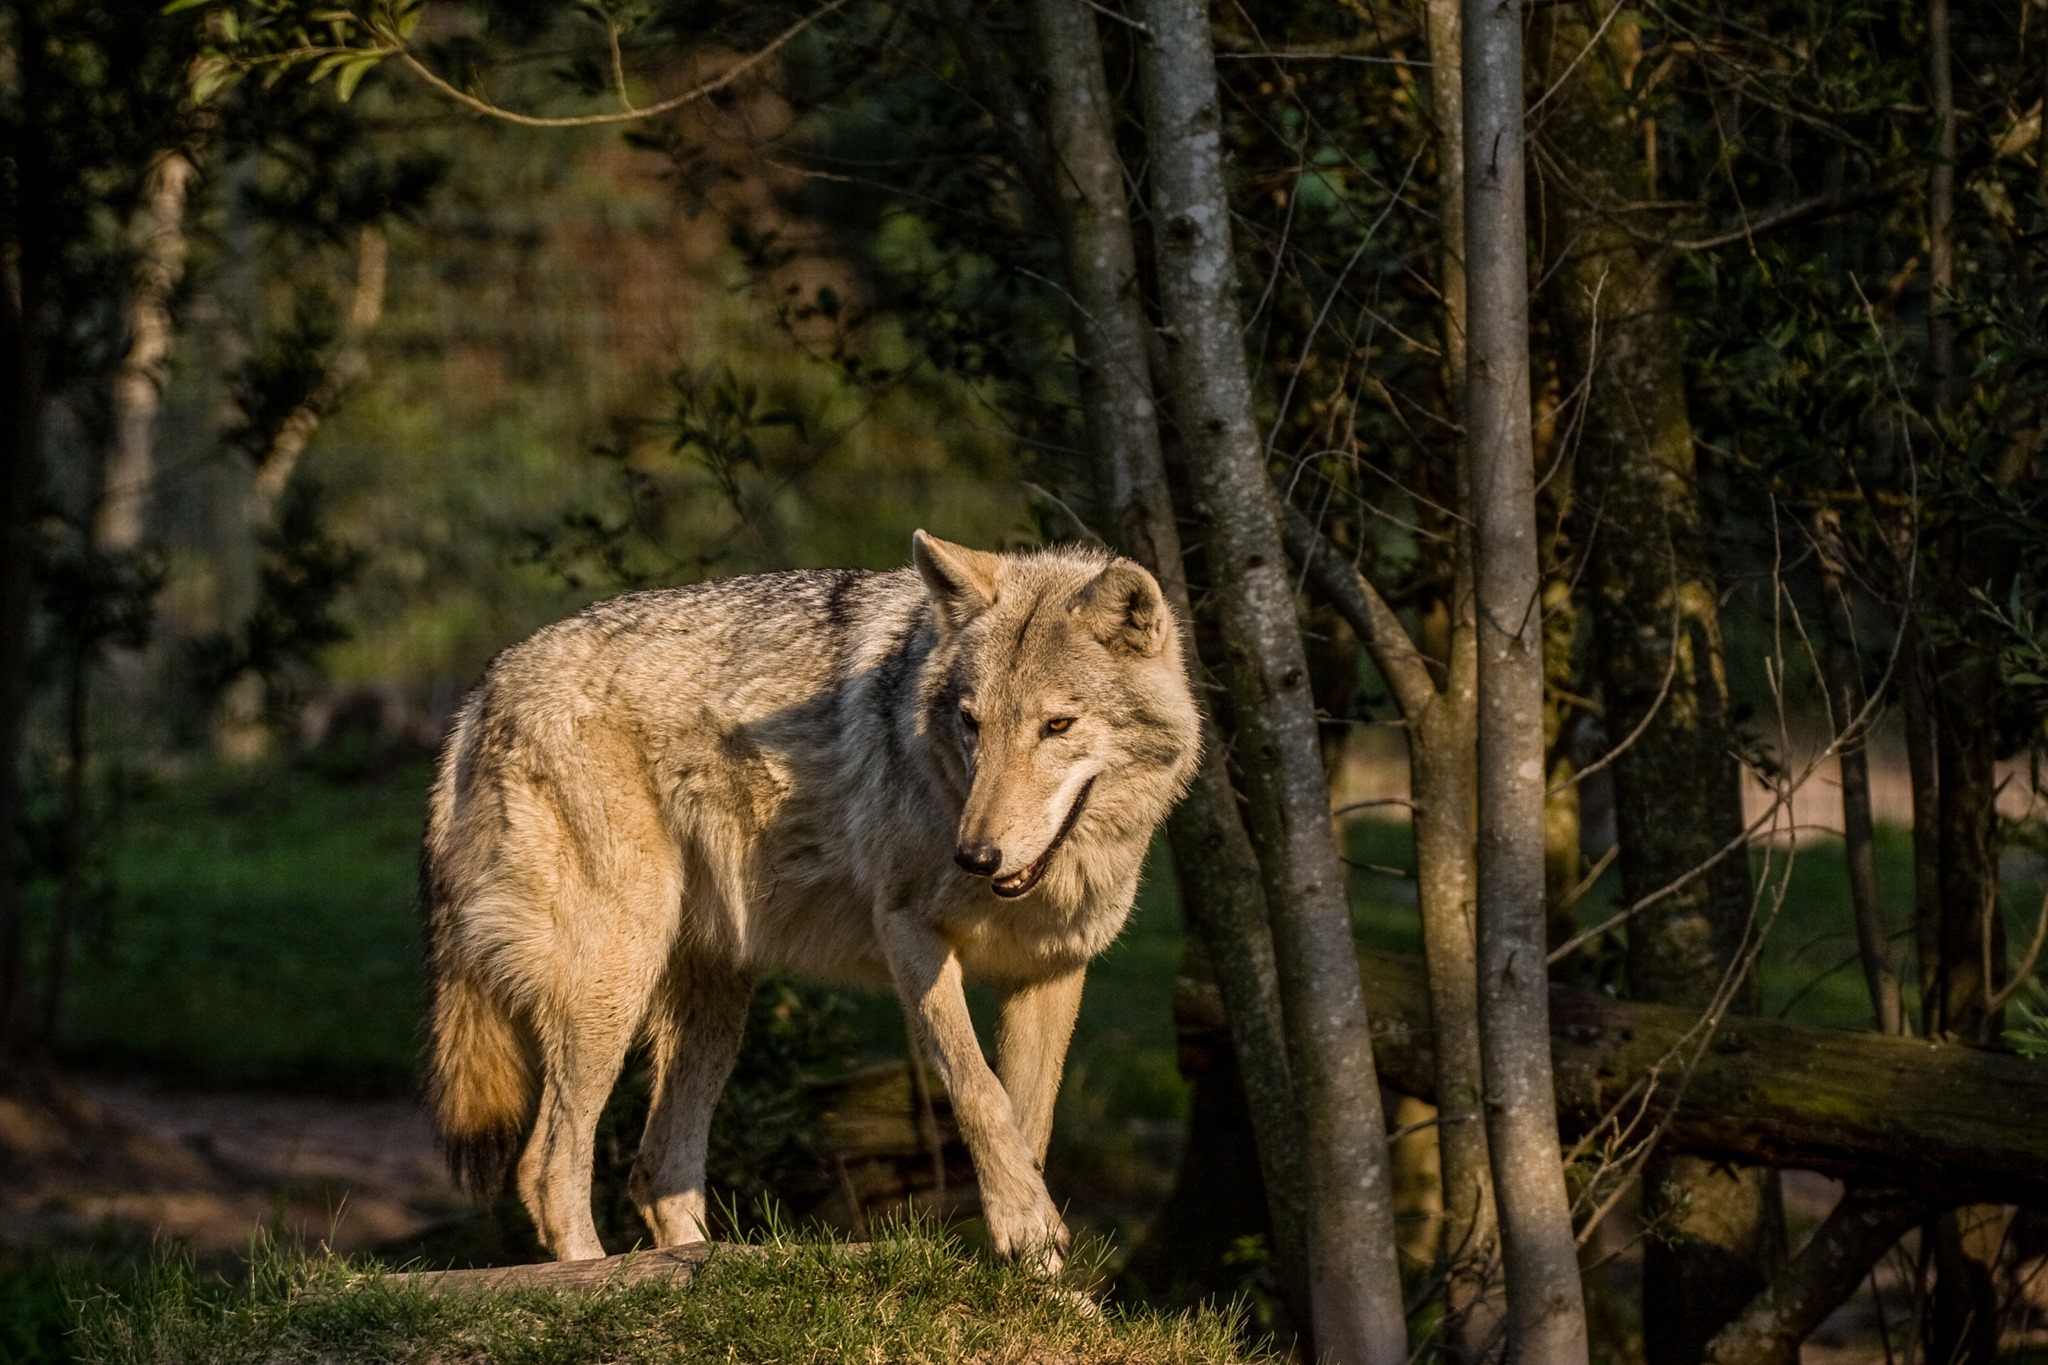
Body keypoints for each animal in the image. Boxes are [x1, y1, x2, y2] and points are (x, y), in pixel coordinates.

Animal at [421, 531, 1201, 1264]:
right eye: (972, 722)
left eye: (1057, 725)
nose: (975, 856)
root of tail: (484, 686)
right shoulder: (909, 936)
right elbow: (979, 1093)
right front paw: (1023, 1228)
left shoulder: (1051, 971)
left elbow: (1027, 1126)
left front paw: (1044, 1277)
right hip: (613, 982)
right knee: (546, 1169)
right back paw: (597, 1280)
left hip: (713, 1010)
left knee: (655, 1171)